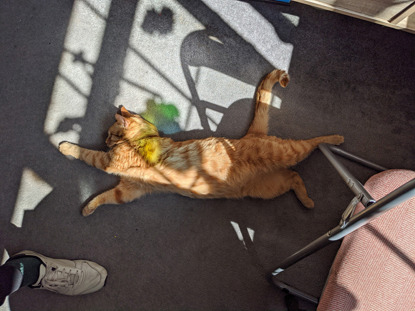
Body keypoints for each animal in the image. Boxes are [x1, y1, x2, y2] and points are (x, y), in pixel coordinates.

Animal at [58, 70, 344, 217]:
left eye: (110, 134)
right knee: (295, 176)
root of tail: (251, 135)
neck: (145, 139)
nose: (104, 139)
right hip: (269, 187)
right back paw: (307, 202)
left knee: (312, 143)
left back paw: (335, 138)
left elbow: (86, 153)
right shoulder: (128, 191)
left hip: (288, 152)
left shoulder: (108, 162)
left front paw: (65, 145)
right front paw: (89, 207)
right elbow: (105, 197)